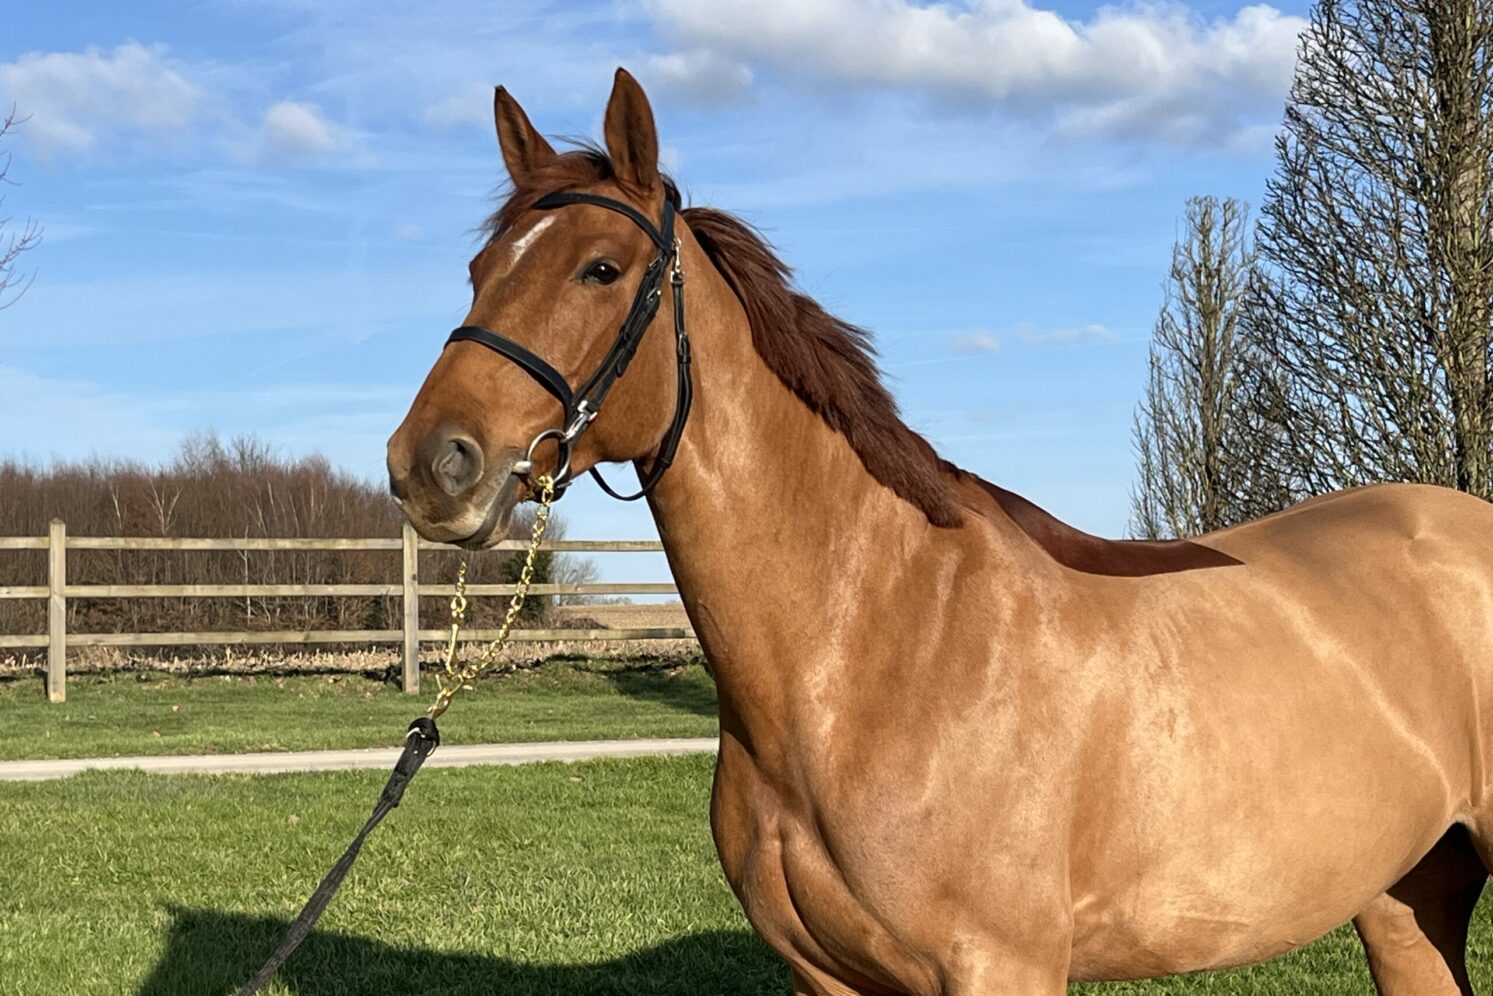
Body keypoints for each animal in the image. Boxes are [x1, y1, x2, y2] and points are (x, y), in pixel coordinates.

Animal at [387, 68, 1493, 995]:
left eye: (602, 269)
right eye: (479, 267)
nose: (429, 464)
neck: (879, 650)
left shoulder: (1000, 967)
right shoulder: (826, 979)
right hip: (1403, 902)